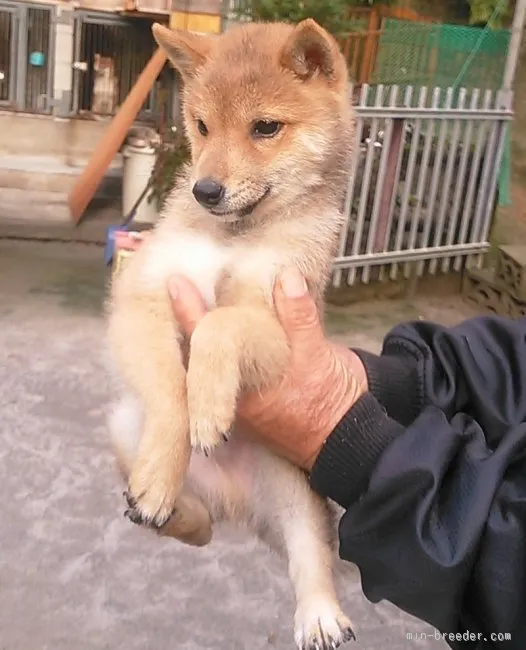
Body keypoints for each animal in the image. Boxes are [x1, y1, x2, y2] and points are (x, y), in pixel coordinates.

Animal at [109, 17, 360, 644]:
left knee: (311, 555)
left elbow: (219, 324)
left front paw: (210, 406)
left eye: (265, 128)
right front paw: (176, 444)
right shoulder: (144, 295)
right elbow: (171, 394)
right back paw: (163, 504)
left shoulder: (281, 321)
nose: (205, 191)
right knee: (197, 528)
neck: (236, 238)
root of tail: (234, 504)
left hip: (298, 492)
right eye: (201, 126)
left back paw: (321, 617)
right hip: (124, 425)